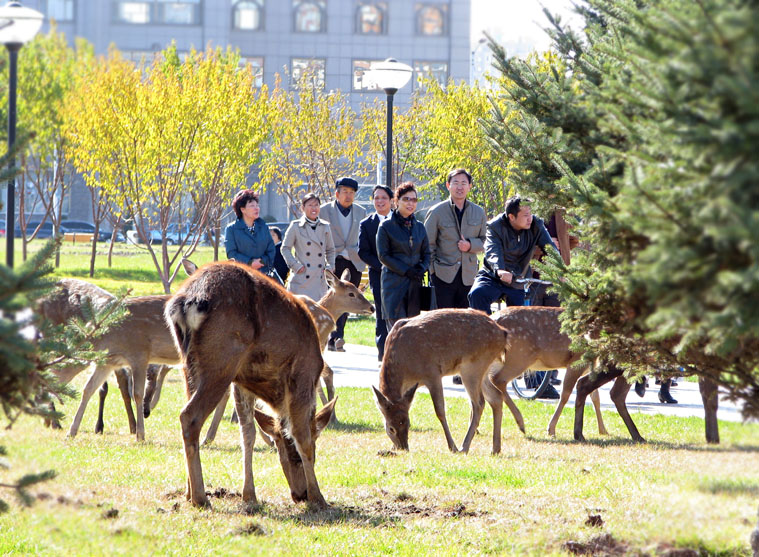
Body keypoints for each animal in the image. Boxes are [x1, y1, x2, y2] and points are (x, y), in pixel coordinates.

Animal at [166, 260, 336, 508]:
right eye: (291, 452)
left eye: (279, 445)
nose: (300, 494)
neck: (274, 395)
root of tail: (186, 303)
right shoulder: (302, 376)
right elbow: (301, 435)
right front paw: (319, 497)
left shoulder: (242, 382)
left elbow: (247, 433)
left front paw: (249, 495)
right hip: (222, 361)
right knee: (189, 416)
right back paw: (200, 497)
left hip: (189, 363)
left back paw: (188, 493)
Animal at [372, 308, 524, 452]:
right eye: (391, 428)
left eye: (408, 424)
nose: (403, 447)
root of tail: (503, 333)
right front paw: (391, 448)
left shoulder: (432, 373)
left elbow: (439, 410)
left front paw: (452, 447)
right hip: (484, 370)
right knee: (495, 397)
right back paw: (495, 448)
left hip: (473, 366)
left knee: (479, 403)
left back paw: (464, 447)